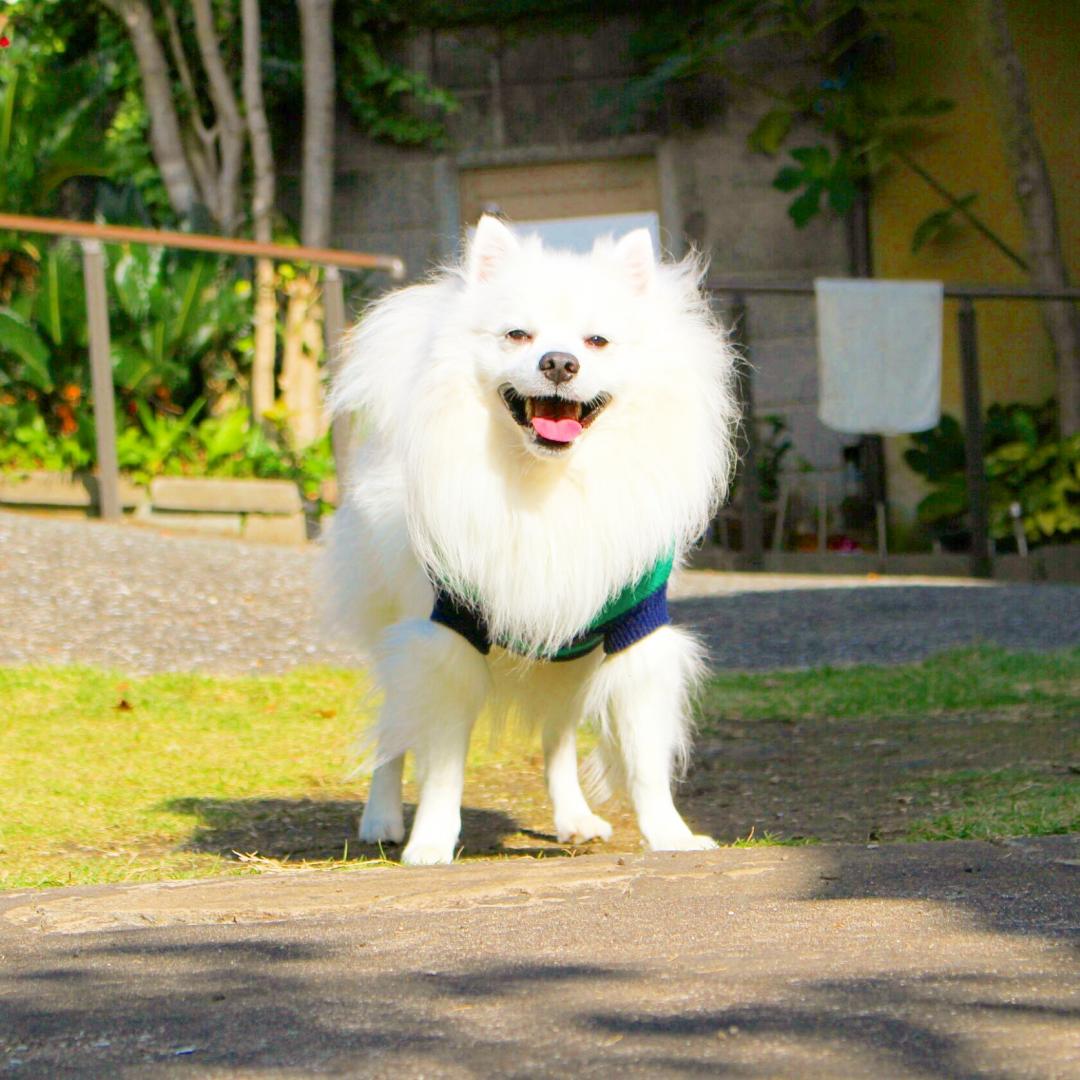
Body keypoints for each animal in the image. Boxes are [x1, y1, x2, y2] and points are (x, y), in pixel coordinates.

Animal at [324, 214, 738, 864]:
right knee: (395, 724)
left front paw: (669, 836)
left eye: (597, 342)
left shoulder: (634, 631)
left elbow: (644, 758)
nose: (559, 363)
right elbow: (443, 765)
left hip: (567, 658)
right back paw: (382, 818)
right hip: (396, 624)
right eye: (517, 335)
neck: (546, 481)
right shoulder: (450, 630)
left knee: (557, 736)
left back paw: (574, 817)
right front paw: (431, 843)